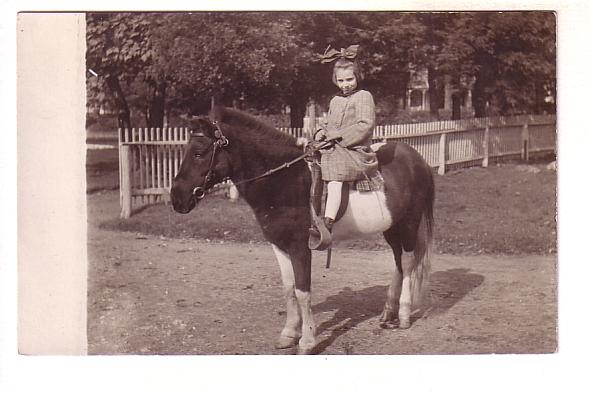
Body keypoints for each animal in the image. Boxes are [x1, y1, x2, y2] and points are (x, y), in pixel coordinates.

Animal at [171, 105, 434, 354]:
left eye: (198, 153)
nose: (176, 199)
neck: (284, 179)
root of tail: (417, 159)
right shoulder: (279, 245)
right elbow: (289, 289)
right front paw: (289, 333)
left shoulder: (300, 247)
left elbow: (302, 290)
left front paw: (307, 341)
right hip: (391, 227)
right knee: (398, 262)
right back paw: (388, 313)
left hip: (409, 224)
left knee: (408, 263)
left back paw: (403, 315)